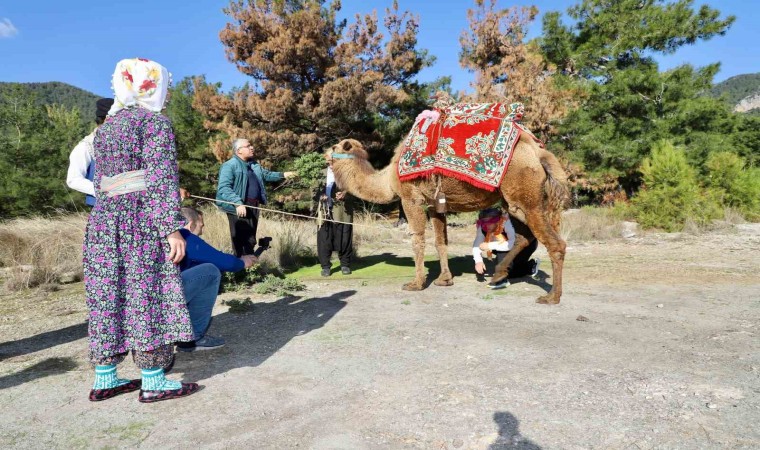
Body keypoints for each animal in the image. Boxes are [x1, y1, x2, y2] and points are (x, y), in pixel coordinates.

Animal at [326, 132, 568, 304]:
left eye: (334, 147)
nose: (324, 154)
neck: (387, 179)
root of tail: (539, 154)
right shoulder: (435, 205)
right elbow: (441, 241)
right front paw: (444, 279)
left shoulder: (411, 198)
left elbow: (417, 239)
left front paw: (416, 283)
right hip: (512, 202)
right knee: (523, 237)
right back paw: (499, 274)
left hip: (525, 196)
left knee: (554, 243)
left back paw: (551, 297)